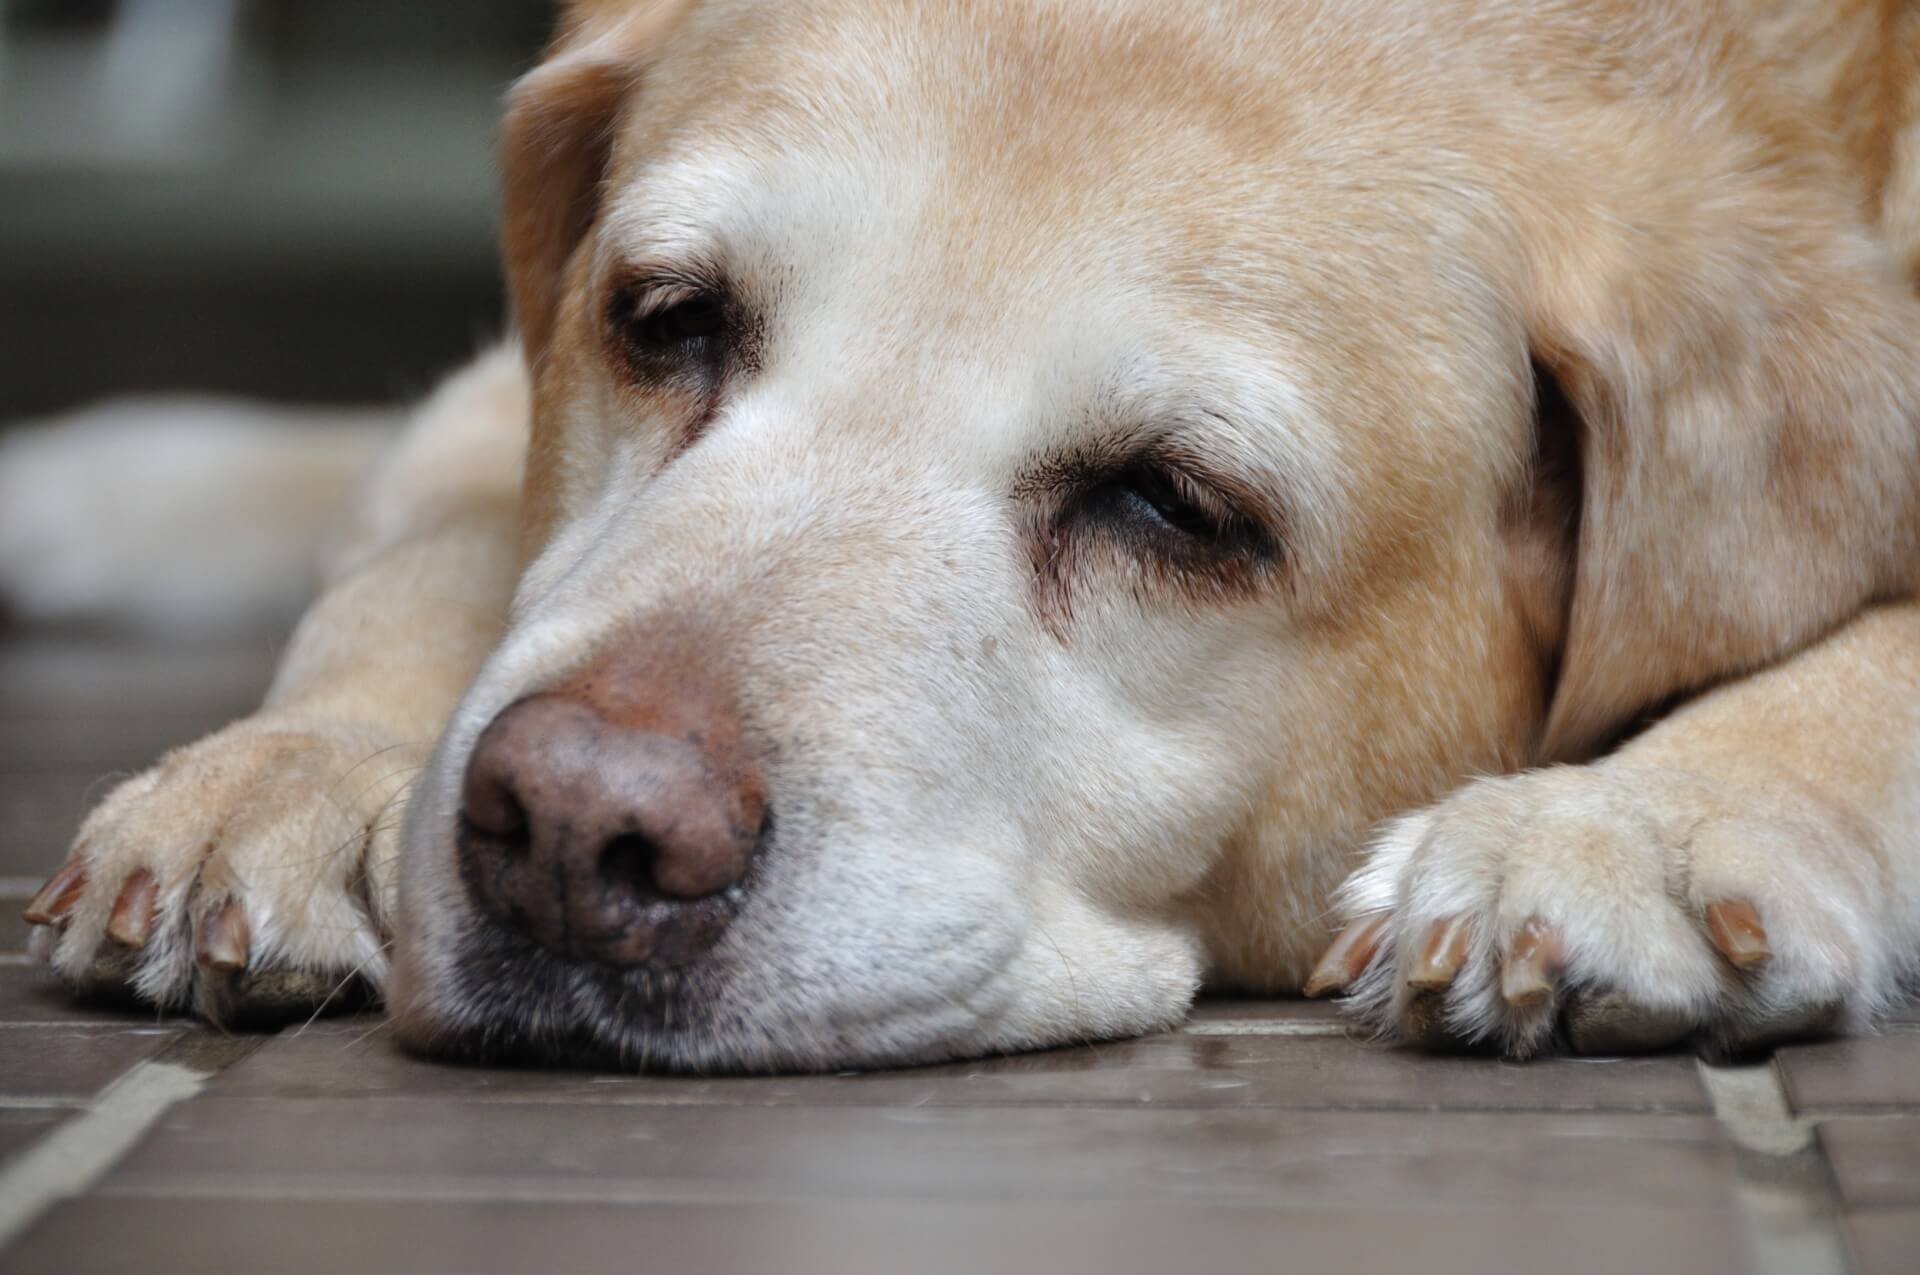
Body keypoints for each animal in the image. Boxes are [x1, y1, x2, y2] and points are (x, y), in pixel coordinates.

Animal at [3, 0, 1920, 1075]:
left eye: (1174, 504)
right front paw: (298, 763)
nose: (572, 830)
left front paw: (1642, 819)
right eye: (668, 319)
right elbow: (444, 525)